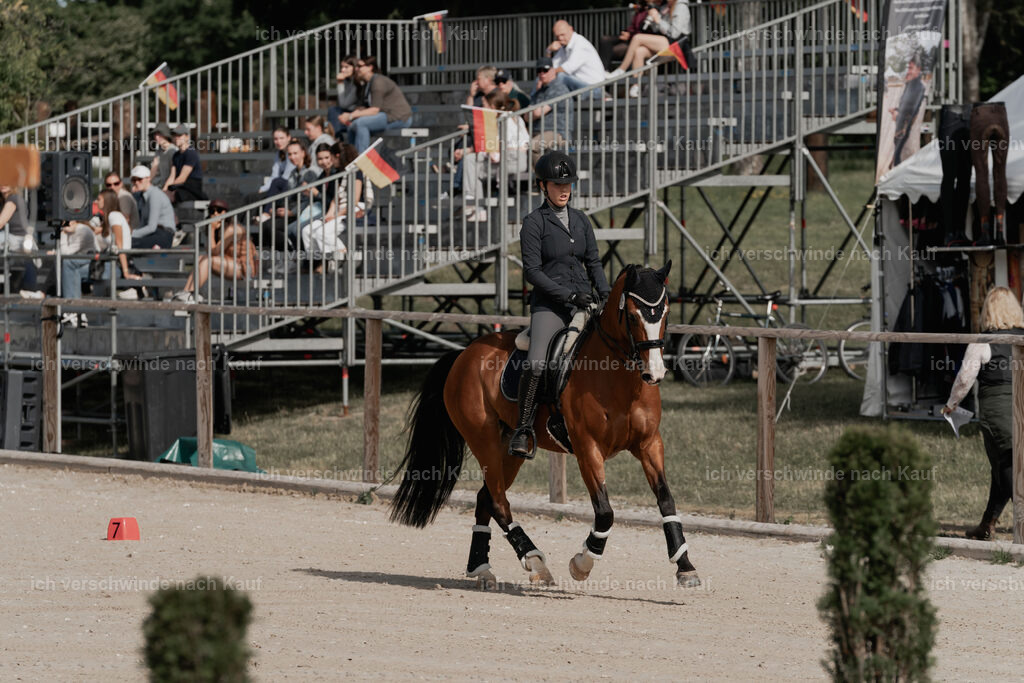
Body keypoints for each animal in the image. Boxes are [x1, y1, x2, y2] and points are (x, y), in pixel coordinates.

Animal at [389, 262, 700, 589]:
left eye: (665, 313)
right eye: (631, 316)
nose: (655, 373)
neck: (619, 377)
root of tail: (464, 353)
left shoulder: (649, 444)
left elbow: (666, 501)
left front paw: (685, 567)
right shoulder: (588, 449)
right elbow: (605, 512)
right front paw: (582, 563)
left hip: (509, 447)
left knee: (486, 496)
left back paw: (481, 568)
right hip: (483, 439)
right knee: (498, 501)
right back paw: (535, 561)